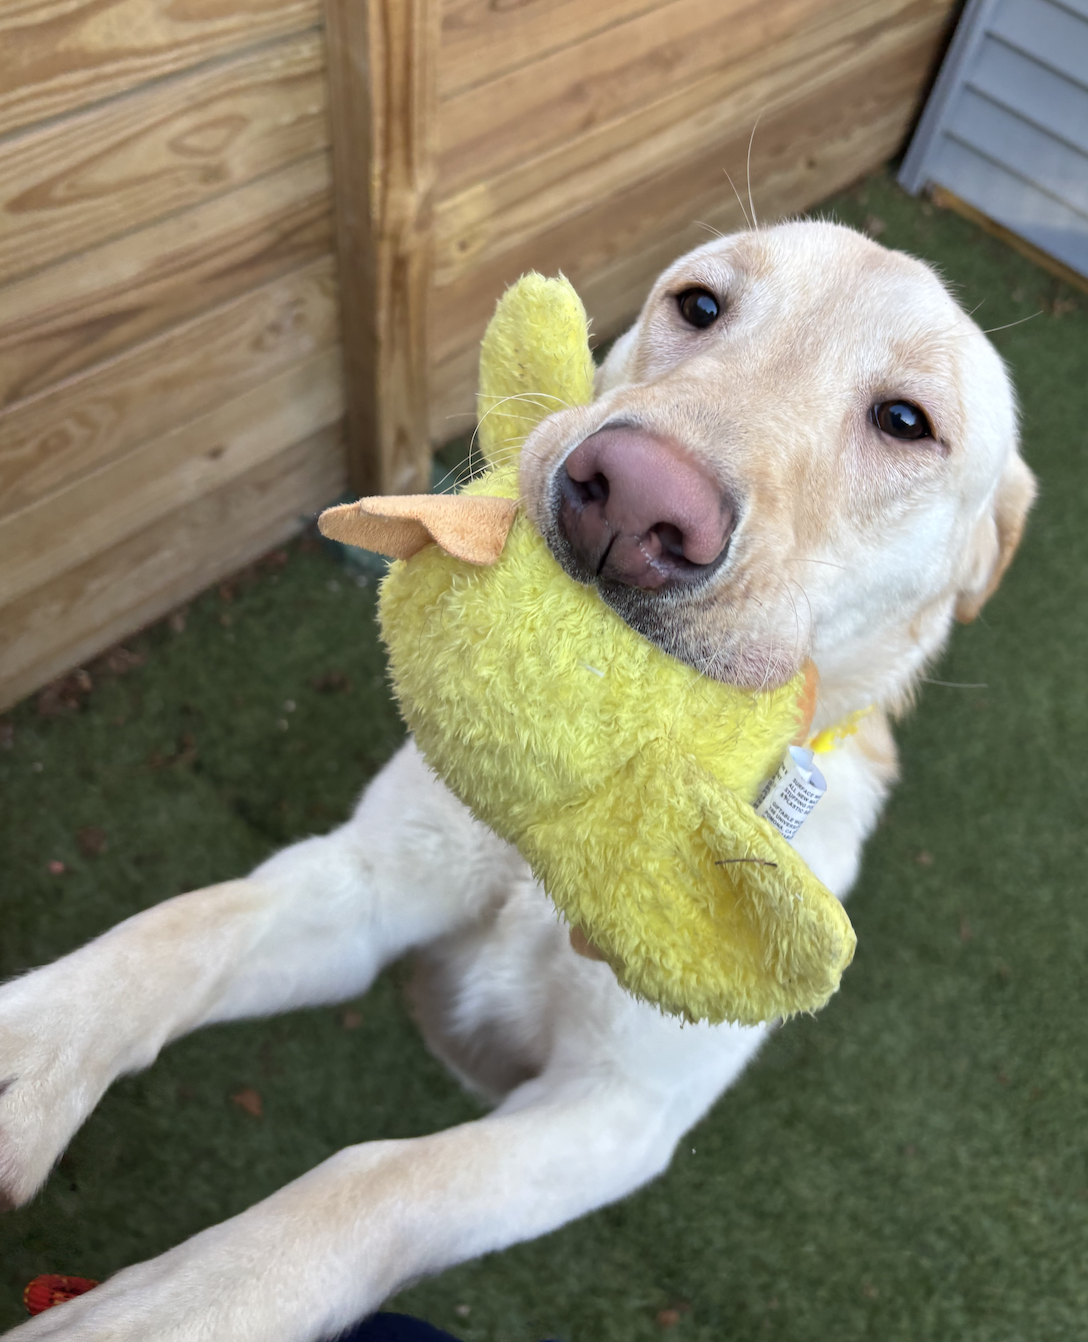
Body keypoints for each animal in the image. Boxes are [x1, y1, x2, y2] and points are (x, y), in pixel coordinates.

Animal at [0, 219, 1035, 1340]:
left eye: (905, 422)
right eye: (699, 305)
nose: (635, 496)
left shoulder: (618, 1111)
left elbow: (373, 1177)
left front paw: (171, 1308)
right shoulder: (365, 884)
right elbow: (176, 931)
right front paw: (30, 1042)